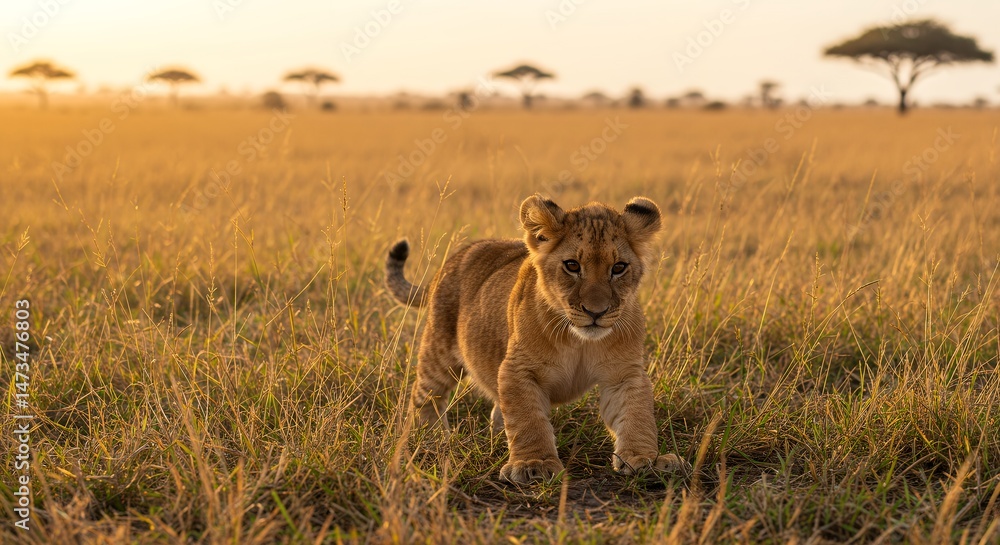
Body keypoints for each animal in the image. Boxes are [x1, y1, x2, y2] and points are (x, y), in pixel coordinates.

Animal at [385, 195, 690, 484]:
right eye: (572, 266)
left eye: (618, 267)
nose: (596, 312)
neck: (579, 341)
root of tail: (449, 262)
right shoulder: (518, 369)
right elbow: (528, 419)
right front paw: (534, 464)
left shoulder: (624, 373)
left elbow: (636, 415)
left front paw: (647, 459)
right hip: (439, 352)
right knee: (425, 395)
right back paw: (432, 438)